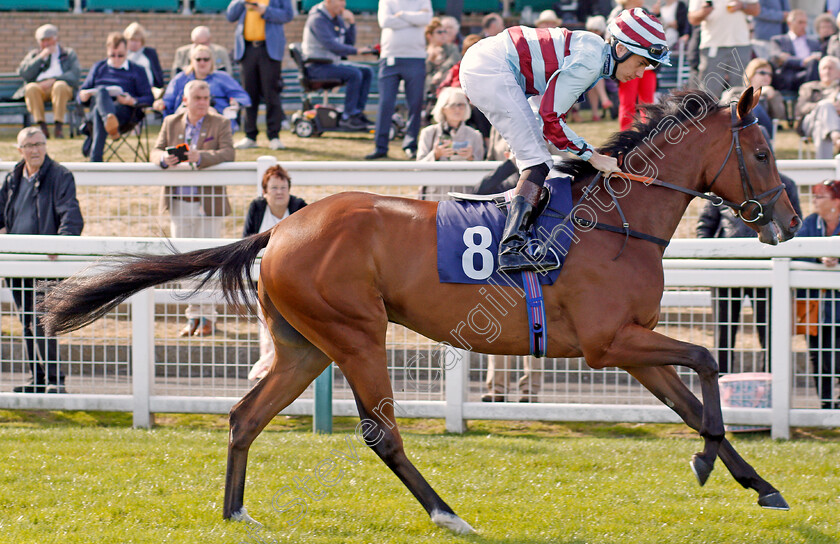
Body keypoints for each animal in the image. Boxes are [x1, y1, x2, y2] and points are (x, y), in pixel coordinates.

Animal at [41, 87, 800, 532]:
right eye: (763, 151)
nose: (789, 220)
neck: (616, 220)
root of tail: (281, 229)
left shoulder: (631, 342)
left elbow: (692, 400)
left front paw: (755, 482)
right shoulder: (610, 342)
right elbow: (706, 363)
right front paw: (712, 463)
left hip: (304, 345)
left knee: (244, 417)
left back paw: (236, 514)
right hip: (356, 335)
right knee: (381, 434)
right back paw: (447, 513)